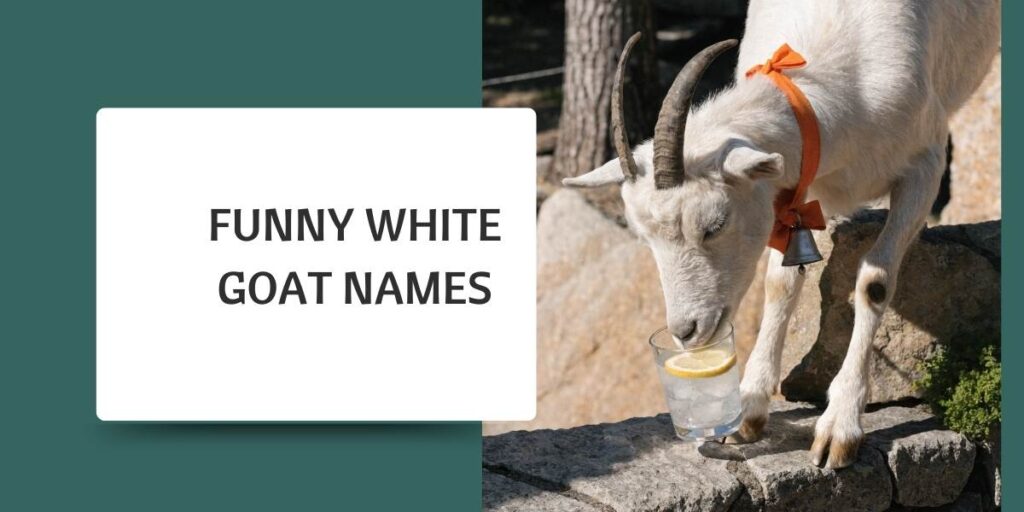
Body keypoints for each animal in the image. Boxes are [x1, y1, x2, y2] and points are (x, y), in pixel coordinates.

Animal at [563, 0, 1000, 469]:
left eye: (714, 224)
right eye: (646, 240)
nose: (685, 331)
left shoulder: (926, 164)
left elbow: (875, 283)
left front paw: (839, 429)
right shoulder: (793, 183)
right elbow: (781, 281)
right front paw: (749, 409)